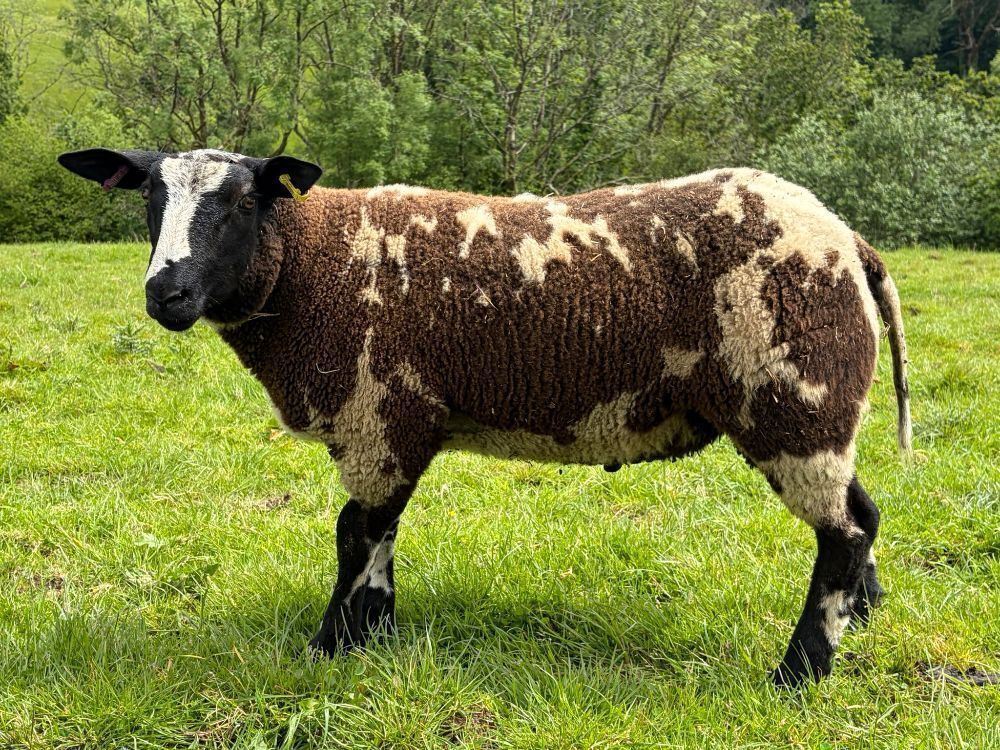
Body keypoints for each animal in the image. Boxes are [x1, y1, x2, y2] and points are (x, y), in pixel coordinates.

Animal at [58, 147, 912, 687]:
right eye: (150, 199)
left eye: (240, 203)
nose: (165, 295)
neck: (310, 262)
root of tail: (848, 239)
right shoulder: (394, 423)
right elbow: (379, 535)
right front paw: (375, 634)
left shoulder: (378, 412)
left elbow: (354, 535)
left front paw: (331, 647)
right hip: (815, 410)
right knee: (861, 514)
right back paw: (860, 620)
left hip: (792, 394)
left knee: (845, 531)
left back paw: (799, 673)